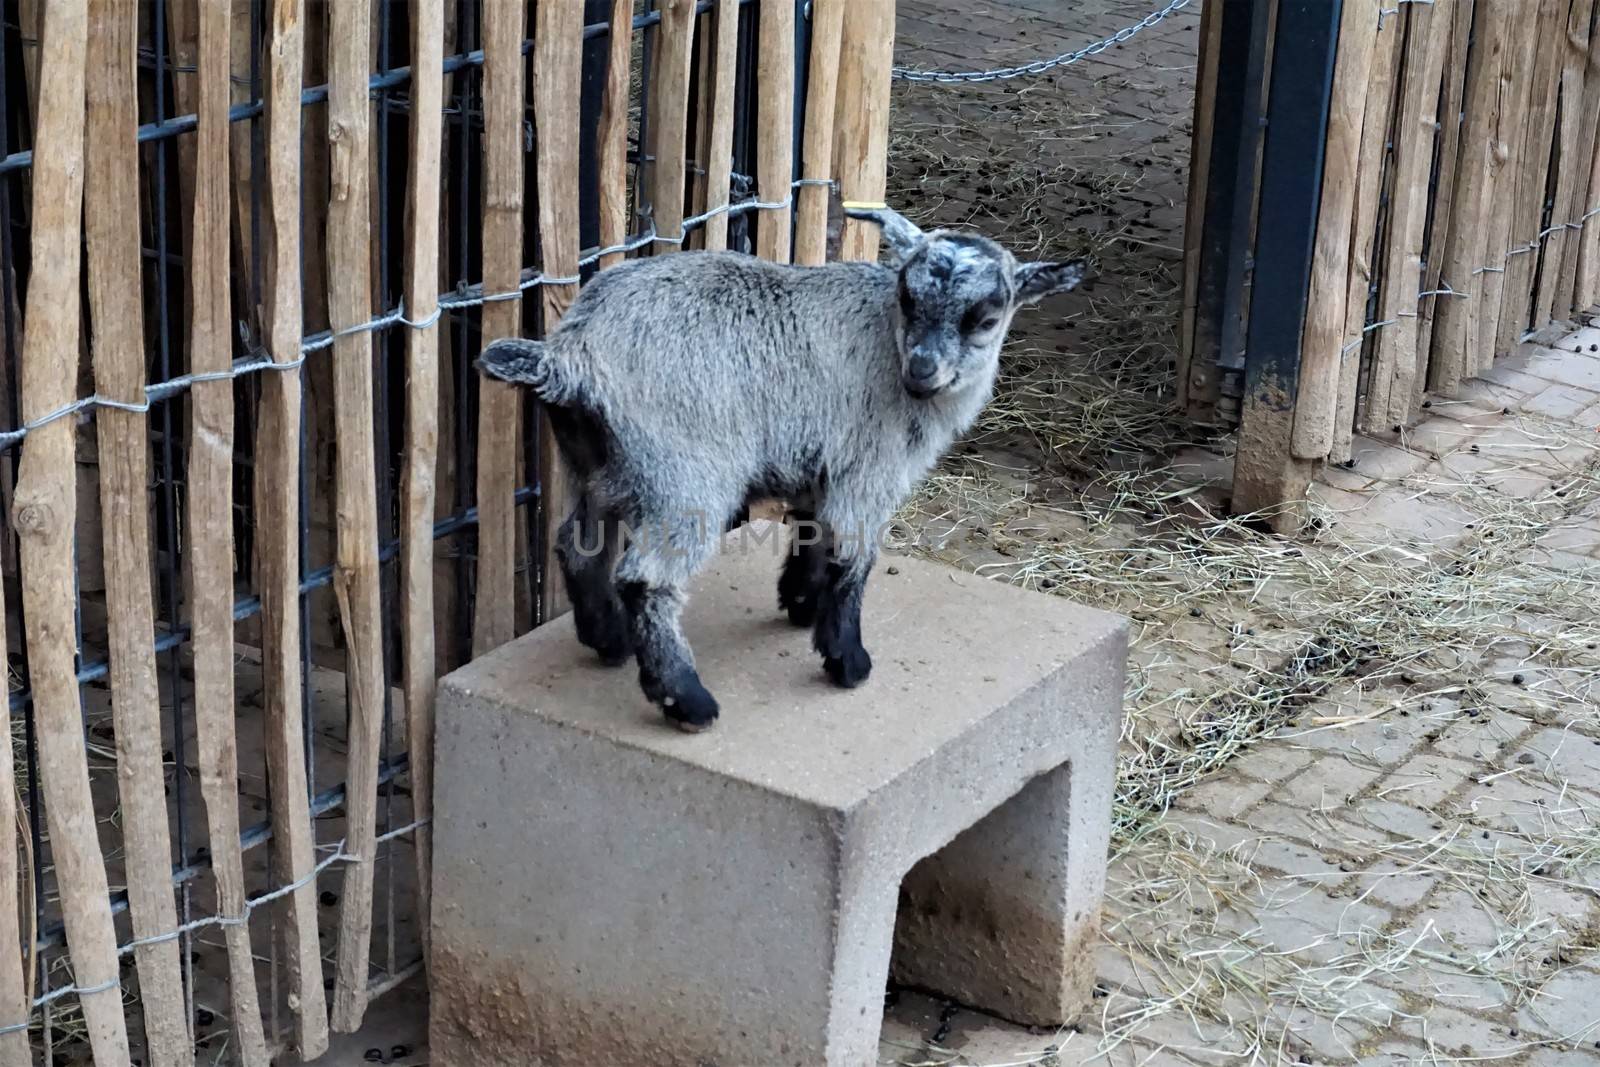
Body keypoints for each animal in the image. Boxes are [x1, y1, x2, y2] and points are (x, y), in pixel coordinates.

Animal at [467, 204, 1081, 729]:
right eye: (908, 298)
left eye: (986, 317)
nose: (923, 370)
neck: (886, 343)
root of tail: (565, 357)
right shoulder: (867, 473)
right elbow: (852, 560)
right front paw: (847, 661)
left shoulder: (820, 465)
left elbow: (812, 534)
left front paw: (801, 605)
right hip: (686, 477)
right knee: (647, 578)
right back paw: (686, 700)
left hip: (596, 467)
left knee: (577, 546)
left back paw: (609, 641)